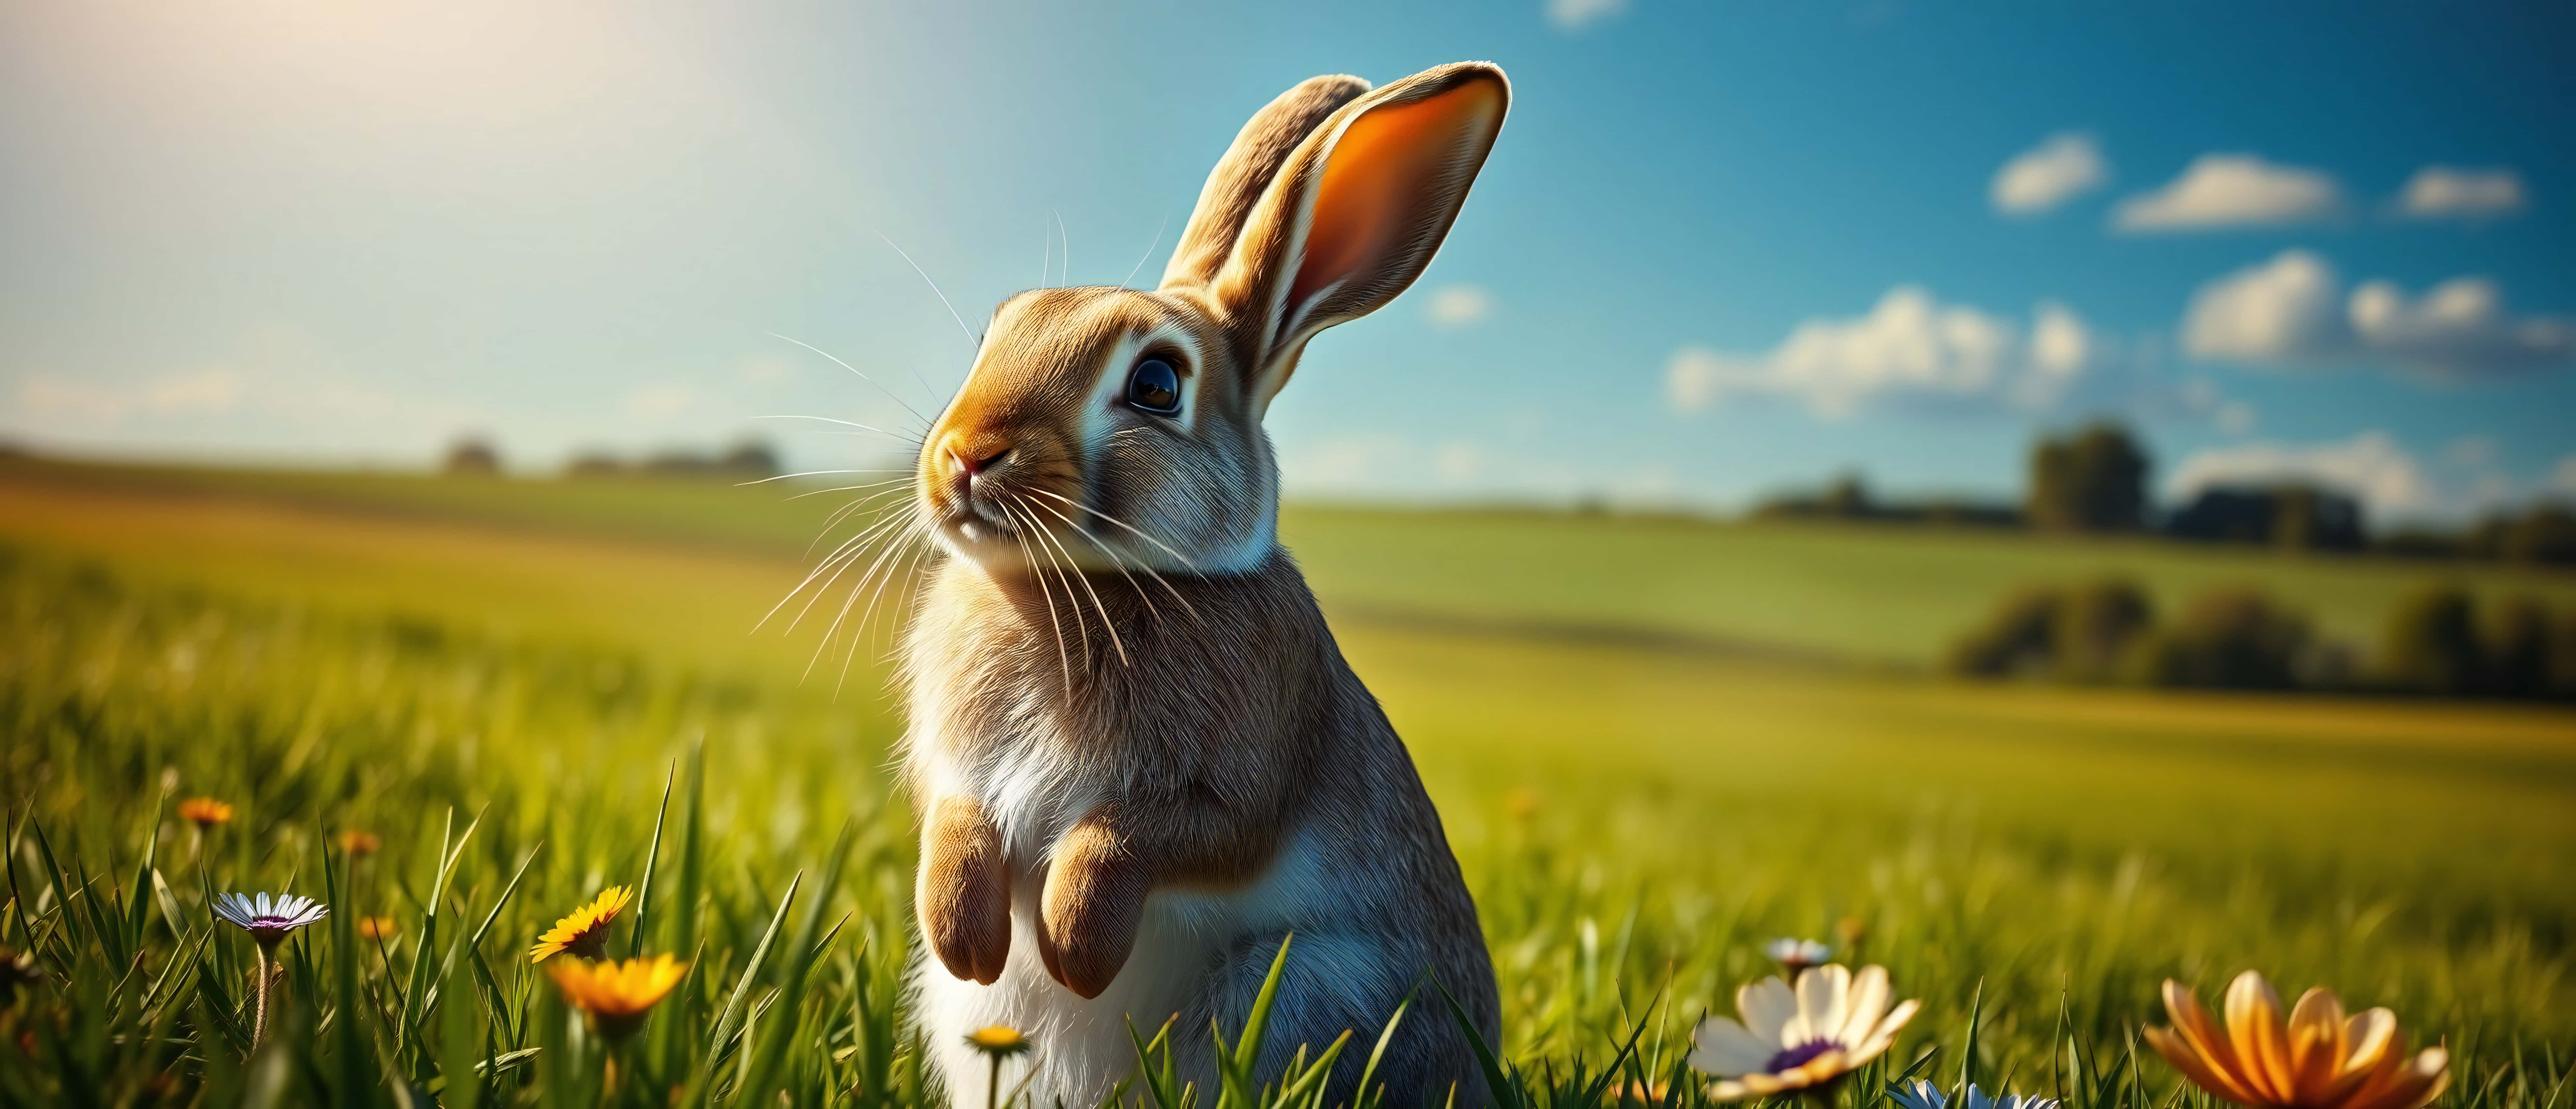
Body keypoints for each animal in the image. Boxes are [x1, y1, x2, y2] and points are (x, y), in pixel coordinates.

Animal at [900, 62, 1509, 1109]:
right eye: (995, 334)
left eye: (1155, 385)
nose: (966, 456)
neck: (1078, 585)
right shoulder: (953, 764)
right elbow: (953, 815)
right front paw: (965, 935)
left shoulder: (1235, 780)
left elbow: (1143, 841)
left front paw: (1074, 947)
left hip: (1309, 988)